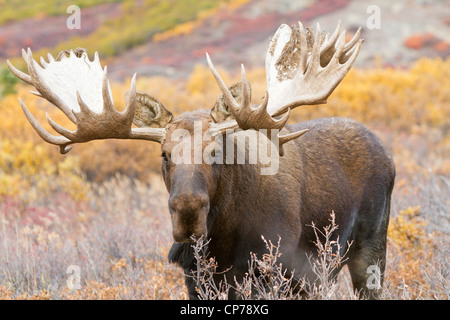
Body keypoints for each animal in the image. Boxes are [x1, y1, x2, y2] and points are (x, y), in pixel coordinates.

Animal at [7, 21, 394, 298]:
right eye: (164, 153)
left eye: (216, 150)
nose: (187, 211)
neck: (222, 238)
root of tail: (387, 153)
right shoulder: (195, 277)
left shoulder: (273, 271)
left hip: (371, 250)